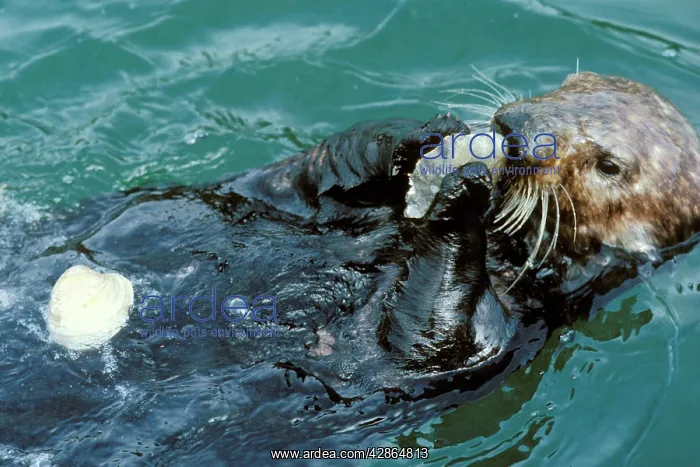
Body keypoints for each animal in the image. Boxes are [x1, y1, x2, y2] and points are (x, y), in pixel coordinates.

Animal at [35, 71, 700, 458]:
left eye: (609, 165)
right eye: (564, 86)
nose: (512, 127)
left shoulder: (515, 318)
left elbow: (435, 337)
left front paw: (459, 200)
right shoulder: (283, 194)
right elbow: (311, 175)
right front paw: (415, 138)